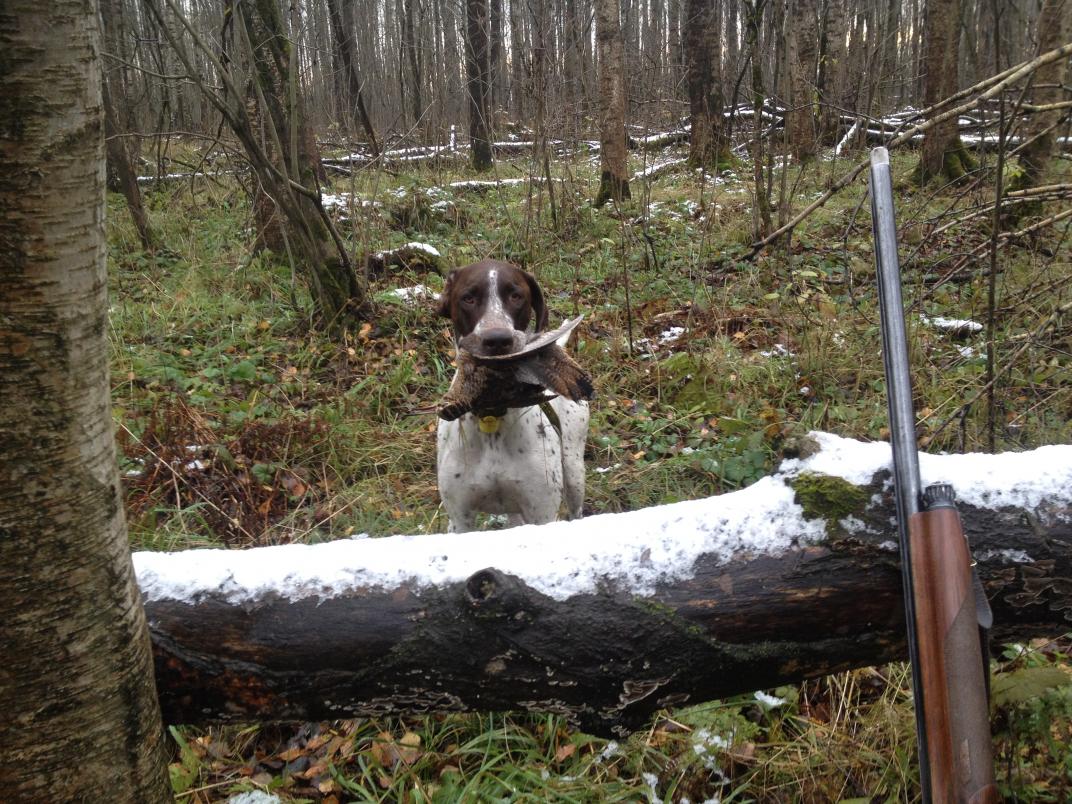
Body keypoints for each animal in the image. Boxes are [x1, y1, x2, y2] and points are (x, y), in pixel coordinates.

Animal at [436, 259, 589, 533]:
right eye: (468, 298)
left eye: (516, 296)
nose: (497, 340)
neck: (492, 414)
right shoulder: (460, 519)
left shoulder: (542, 512)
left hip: (573, 471)